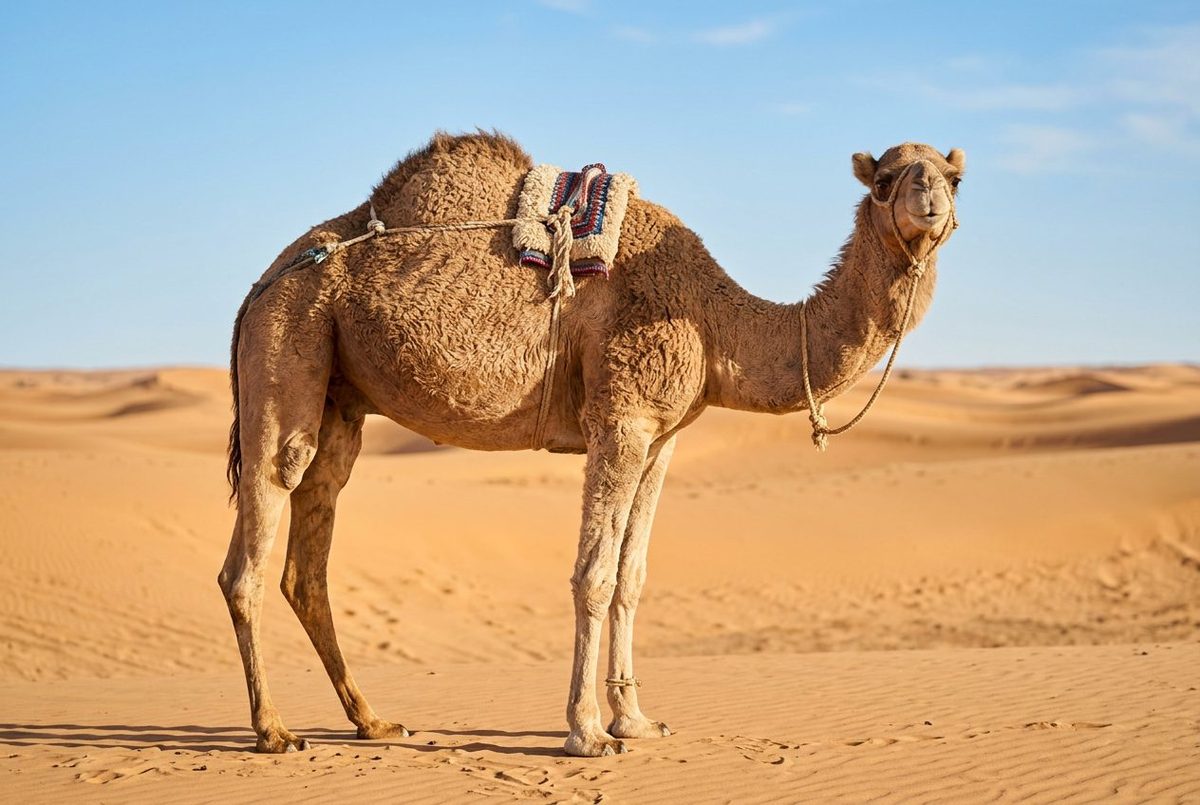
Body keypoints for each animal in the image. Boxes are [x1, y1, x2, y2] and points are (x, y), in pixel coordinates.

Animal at [218, 132, 965, 757]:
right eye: (886, 179)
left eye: (956, 176)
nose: (928, 202)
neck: (714, 321)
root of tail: (259, 283)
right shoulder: (622, 418)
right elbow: (595, 576)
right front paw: (588, 732)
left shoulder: (663, 438)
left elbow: (633, 577)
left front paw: (636, 719)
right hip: (288, 337)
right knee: (259, 525)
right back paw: (274, 731)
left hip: (340, 397)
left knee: (308, 552)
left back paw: (372, 720)